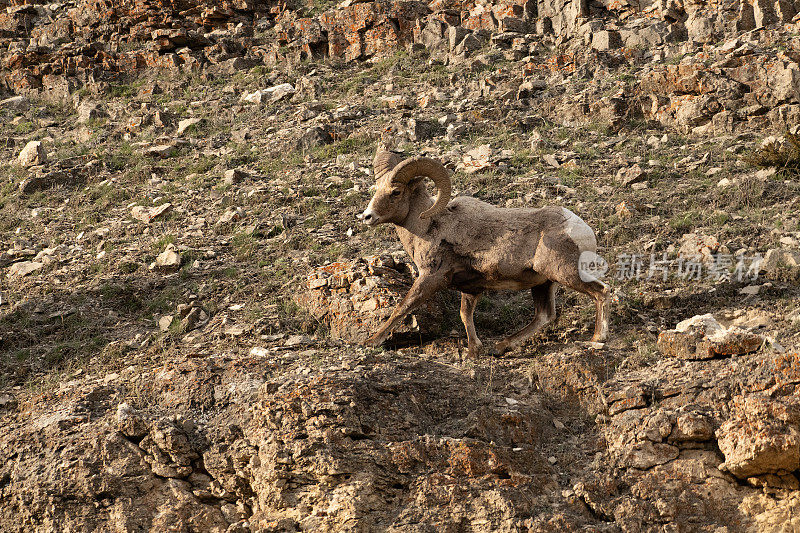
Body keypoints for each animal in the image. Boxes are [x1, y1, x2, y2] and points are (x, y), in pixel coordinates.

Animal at [360, 150, 608, 358]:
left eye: (396, 192)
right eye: (377, 188)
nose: (367, 217)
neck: (430, 227)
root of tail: (581, 229)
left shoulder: (431, 278)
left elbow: (403, 307)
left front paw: (371, 341)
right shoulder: (471, 288)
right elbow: (465, 314)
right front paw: (473, 351)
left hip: (565, 273)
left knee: (601, 291)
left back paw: (598, 338)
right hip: (543, 283)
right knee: (544, 316)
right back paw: (500, 347)